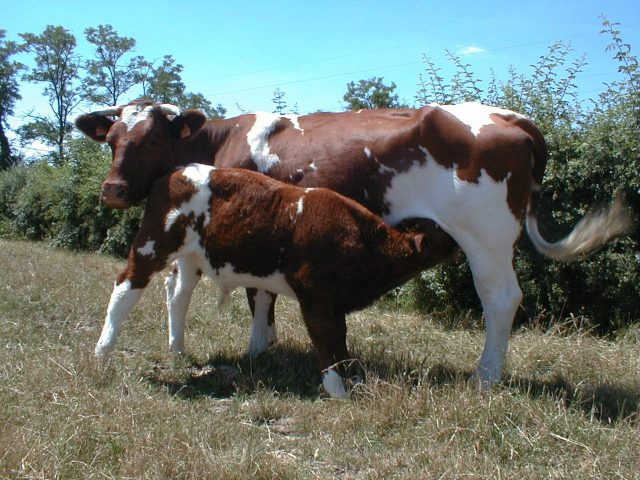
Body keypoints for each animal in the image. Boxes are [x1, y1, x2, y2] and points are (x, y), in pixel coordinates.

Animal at [95, 165, 456, 398]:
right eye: (440, 231)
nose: (458, 241)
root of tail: (173, 172)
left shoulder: (334, 299)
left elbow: (340, 337)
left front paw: (354, 377)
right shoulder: (314, 293)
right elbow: (326, 336)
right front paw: (337, 389)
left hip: (190, 258)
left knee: (178, 296)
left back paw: (178, 349)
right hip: (151, 245)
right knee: (125, 287)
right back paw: (102, 351)